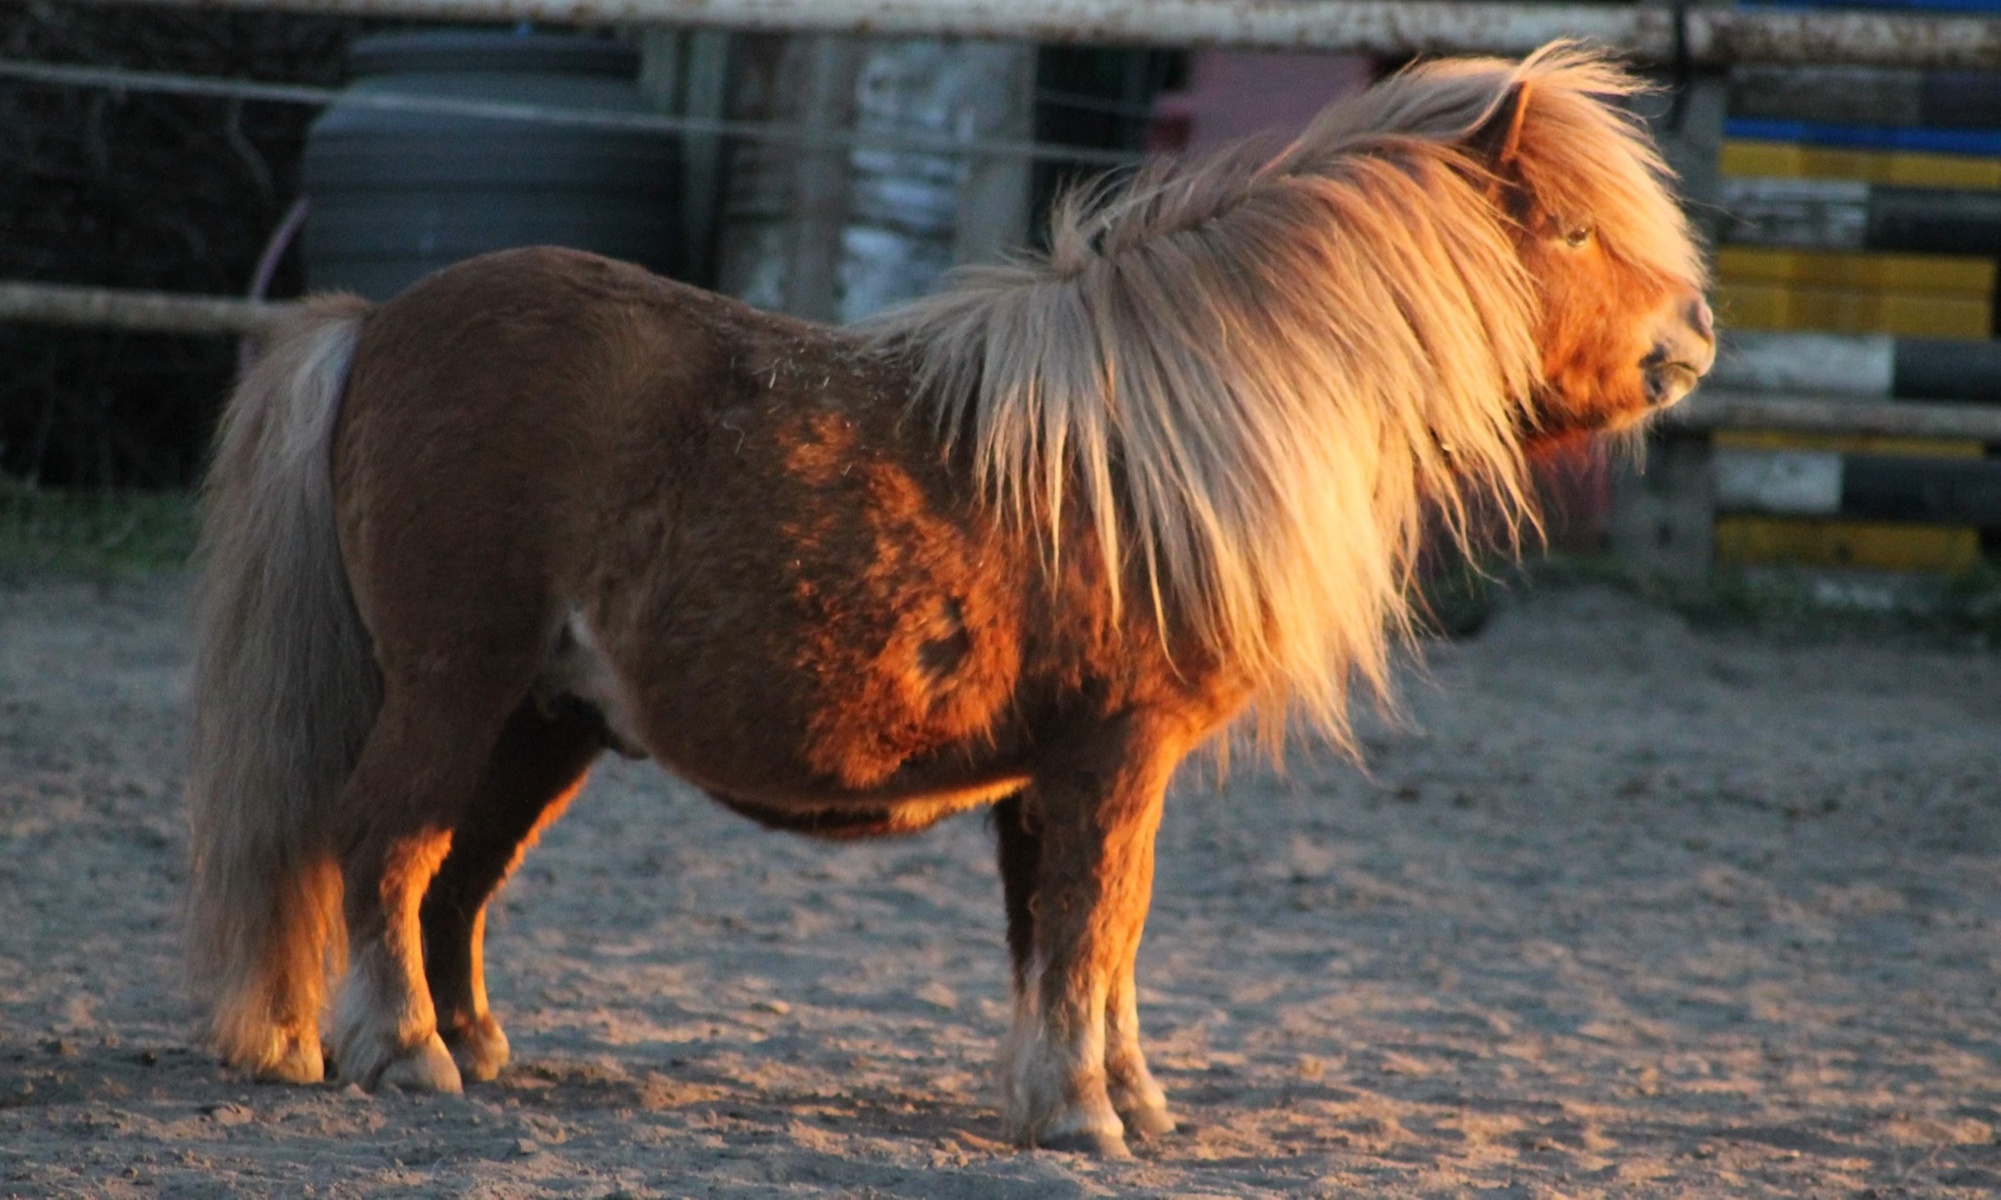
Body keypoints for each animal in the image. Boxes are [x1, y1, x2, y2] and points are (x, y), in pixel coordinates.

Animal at [186, 43, 1714, 1157]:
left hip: (542, 723)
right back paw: (408, 1055)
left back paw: (469, 1046)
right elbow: (1094, 931)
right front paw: (1088, 1117)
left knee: (457, 879)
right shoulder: (1114, 758)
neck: (1163, 439)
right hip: (459, 687)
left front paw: (1113, 1101)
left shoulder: (1060, 777)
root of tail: (375, 325)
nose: (1693, 338)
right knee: (387, 845)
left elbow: (1081, 940)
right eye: (1574, 231)